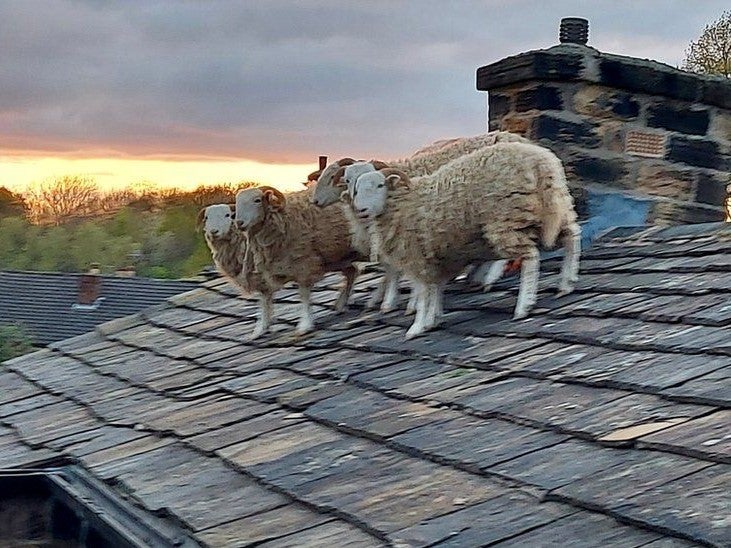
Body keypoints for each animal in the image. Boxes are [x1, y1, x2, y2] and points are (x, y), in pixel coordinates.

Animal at [234, 186, 360, 336]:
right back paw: (341, 304)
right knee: (352, 272)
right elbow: (265, 298)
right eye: (237, 203)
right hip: (336, 257)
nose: (239, 223)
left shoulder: (304, 264)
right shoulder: (272, 270)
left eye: (257, 200)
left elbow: (303, 295)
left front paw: (305, 324)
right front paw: (261, 328)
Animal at [352, 141, 580, 338]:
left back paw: (524, 306)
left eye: (380, 185)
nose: (360, 209)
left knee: (530, 256)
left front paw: (417, 327)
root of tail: (540, 160)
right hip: (552, 208)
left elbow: (424, 292)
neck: (402, 202)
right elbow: (435, 290)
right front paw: (432, 320)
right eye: (356, 188)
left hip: (506, 219)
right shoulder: (436, 258)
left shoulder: (418, 256)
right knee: (572, 235)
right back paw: (566, 283)